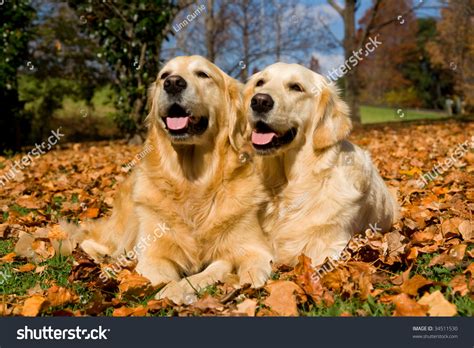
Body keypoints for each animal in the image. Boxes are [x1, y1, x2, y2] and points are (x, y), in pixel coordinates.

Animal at [75, 55, 274, 304]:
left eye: (203, 74)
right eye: (164, 76)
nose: (173, 83)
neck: (192, 181)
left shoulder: (256, 249)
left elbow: (238, 267)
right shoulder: (153, 255)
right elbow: (164, 278)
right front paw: (173, 290)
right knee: (90, 241)